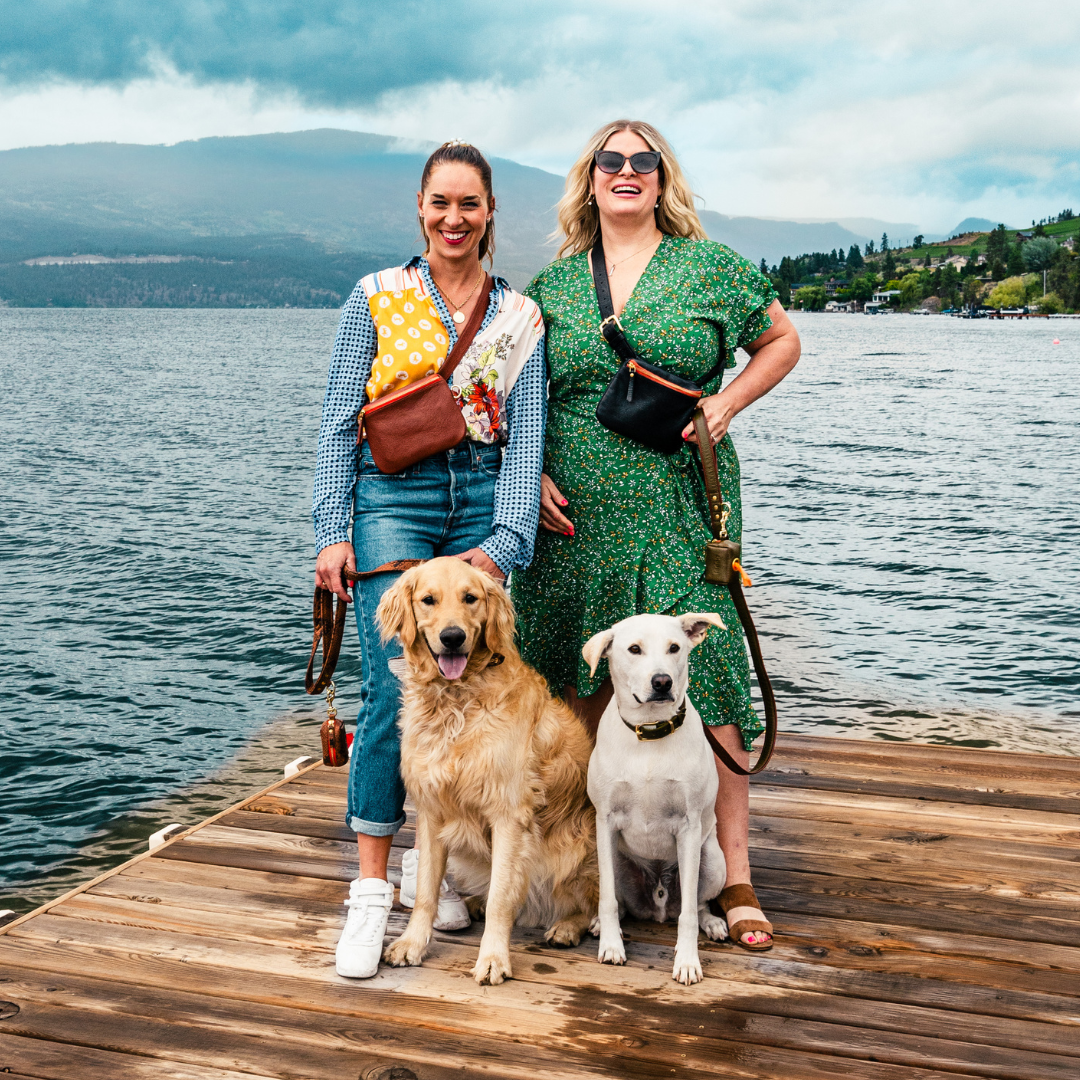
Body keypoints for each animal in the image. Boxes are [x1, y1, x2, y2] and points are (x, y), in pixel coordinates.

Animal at [587, 613, 730, 984]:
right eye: (634, 649)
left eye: (674, 647)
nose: (662, 682)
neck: (650, 734)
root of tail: (659, 903)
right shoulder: (605, 820)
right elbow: (608, 900)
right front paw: (612, 946)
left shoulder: (690, 827)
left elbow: (689, 916)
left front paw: (688, 961)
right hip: (609, 860)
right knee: (619, 900)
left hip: (712, 860)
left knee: (697, 904)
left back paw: (712, 923)